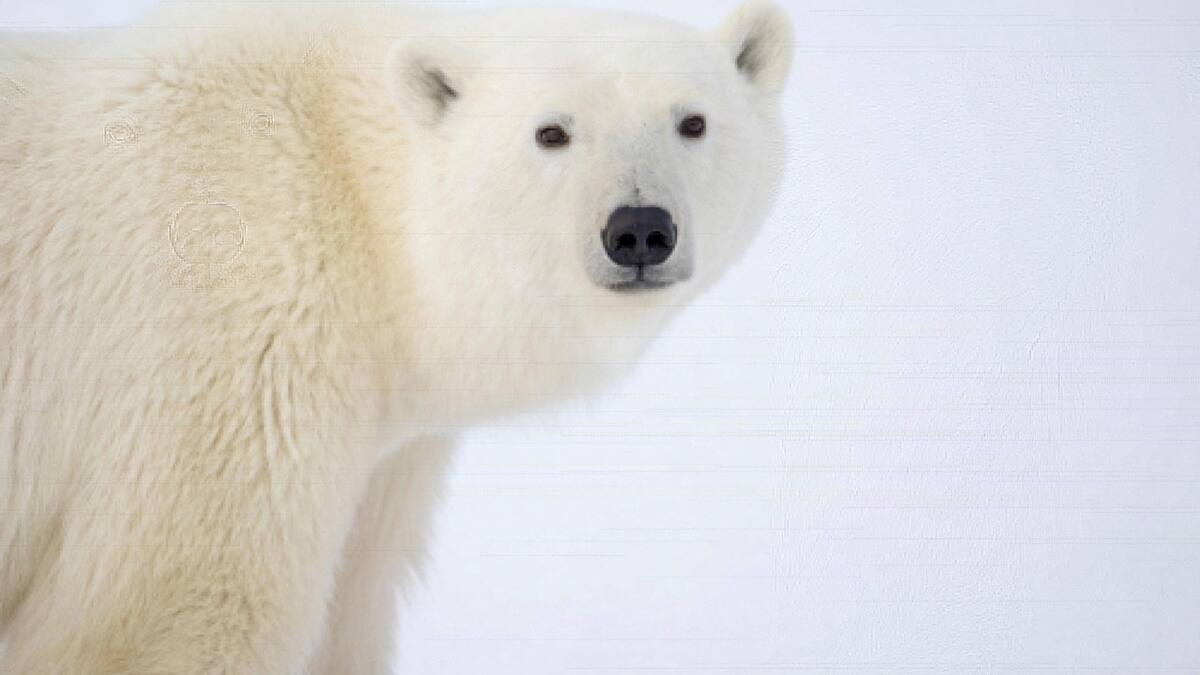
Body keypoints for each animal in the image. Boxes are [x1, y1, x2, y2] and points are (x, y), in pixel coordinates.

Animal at [0, 1, 793, 672]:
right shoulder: (229, 357)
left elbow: (351, 604)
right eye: (552, 131)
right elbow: (180, 611)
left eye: (692, 121)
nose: (639, 229)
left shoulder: (384, 456)